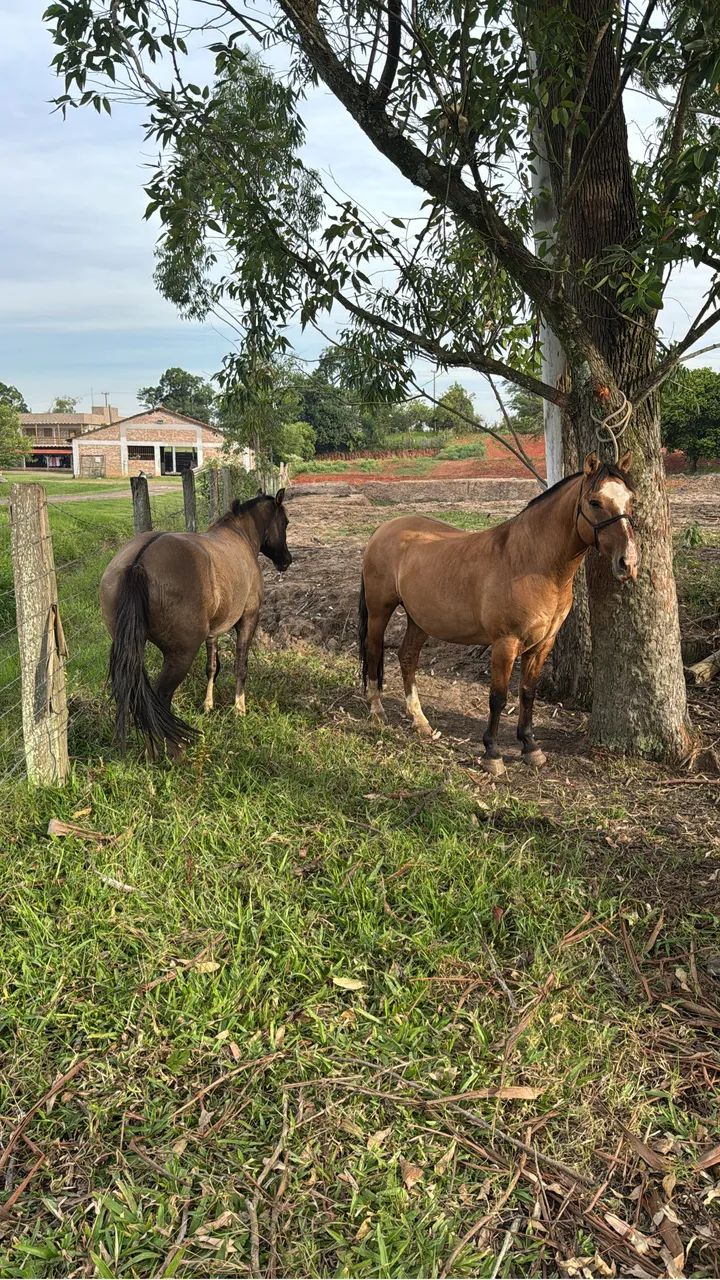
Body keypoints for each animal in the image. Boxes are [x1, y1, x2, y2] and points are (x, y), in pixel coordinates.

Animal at [100, 490, 291, 756]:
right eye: (285, 522)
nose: (287, 560)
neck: (240, 535)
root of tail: (139, 561)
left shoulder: (213, 633)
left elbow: (212, 667)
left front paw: (208, 705)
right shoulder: (248, 620)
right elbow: (240, 666)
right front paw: (239, 709)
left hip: (132, 650)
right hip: (181, 654)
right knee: (161, 697)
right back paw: (170, 750)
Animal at [358, 452, 638, 773]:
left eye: (631, 499)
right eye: (594, 502)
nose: (628, 562)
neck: (530, 562)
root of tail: (383, 529)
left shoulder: (542, 644)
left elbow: (527, 693)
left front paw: (530, 747)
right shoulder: (505, 643)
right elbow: (498, 697)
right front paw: (492, 753)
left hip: (420, 619)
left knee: (407, 658)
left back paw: (420, 720)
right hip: (380, 612)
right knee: (374, 652)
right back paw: (377, 710)